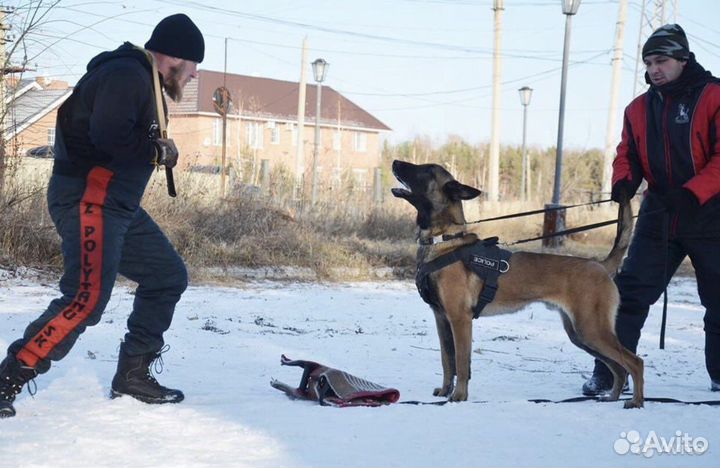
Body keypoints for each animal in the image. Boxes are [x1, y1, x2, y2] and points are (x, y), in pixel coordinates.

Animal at [390, 159, 644, 408]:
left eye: (427, 170)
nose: (394, 161)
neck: (443, 241)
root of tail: (600, 265)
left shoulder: (460, 320)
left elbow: (461, 362)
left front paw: (458, 397)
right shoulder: (441, 319)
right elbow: (446, 360)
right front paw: (444, 391)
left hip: (591, 330)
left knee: (635, 362)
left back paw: (636, 401)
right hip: (581, 334)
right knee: (619, 367)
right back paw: (612, 397)